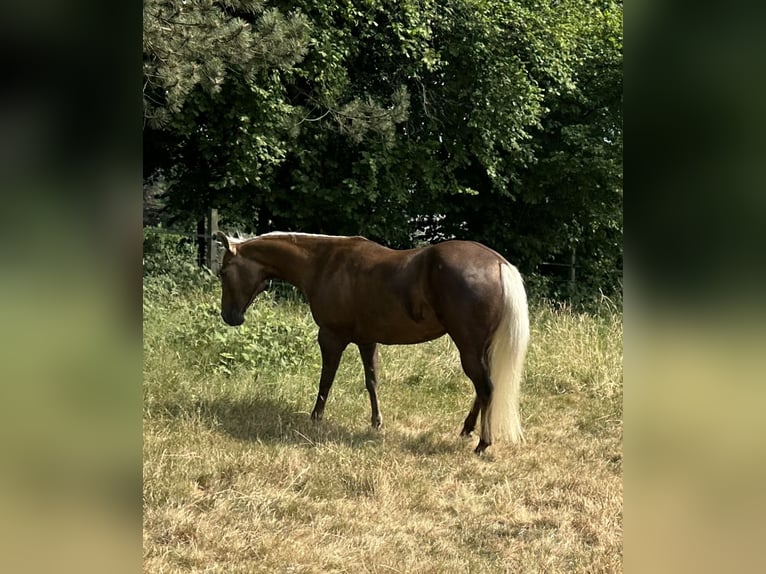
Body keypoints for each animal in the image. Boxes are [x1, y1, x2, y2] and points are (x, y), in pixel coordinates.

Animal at [214, 231, 530, 454]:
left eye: (223, 272)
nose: (229, 317)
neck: (324, 263)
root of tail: (498, 263)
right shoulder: (367, 341)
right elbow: (372, 381)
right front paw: (376, 423)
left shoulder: (331, 337)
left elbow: (326, 380)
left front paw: (316, 417)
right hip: (478, 348)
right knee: (483, 388)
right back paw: (467, 430)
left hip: (468, 347)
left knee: (486, 388)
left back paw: (483, 443)